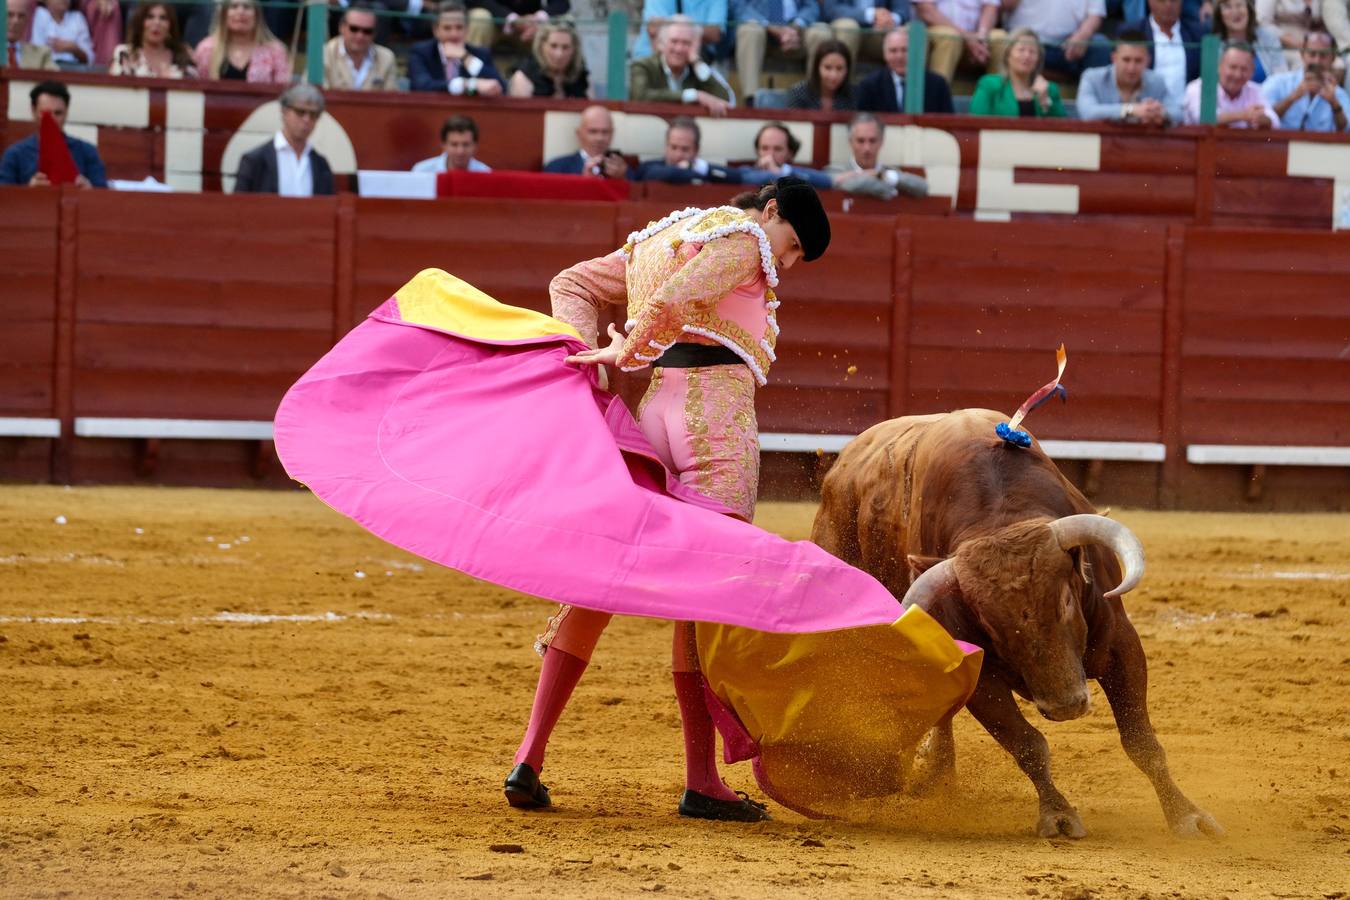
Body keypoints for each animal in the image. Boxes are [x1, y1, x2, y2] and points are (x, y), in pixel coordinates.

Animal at [810, 412, 1225, 841]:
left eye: (1065, 601)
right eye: (990, 625)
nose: (1065, 707)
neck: (1000, 518)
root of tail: (839, 470)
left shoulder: (1120, 645)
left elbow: (1141, 741)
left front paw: (1186, 816)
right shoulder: (980, 677)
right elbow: (1027, 744)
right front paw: (1058, 815)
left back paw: (938, 777)